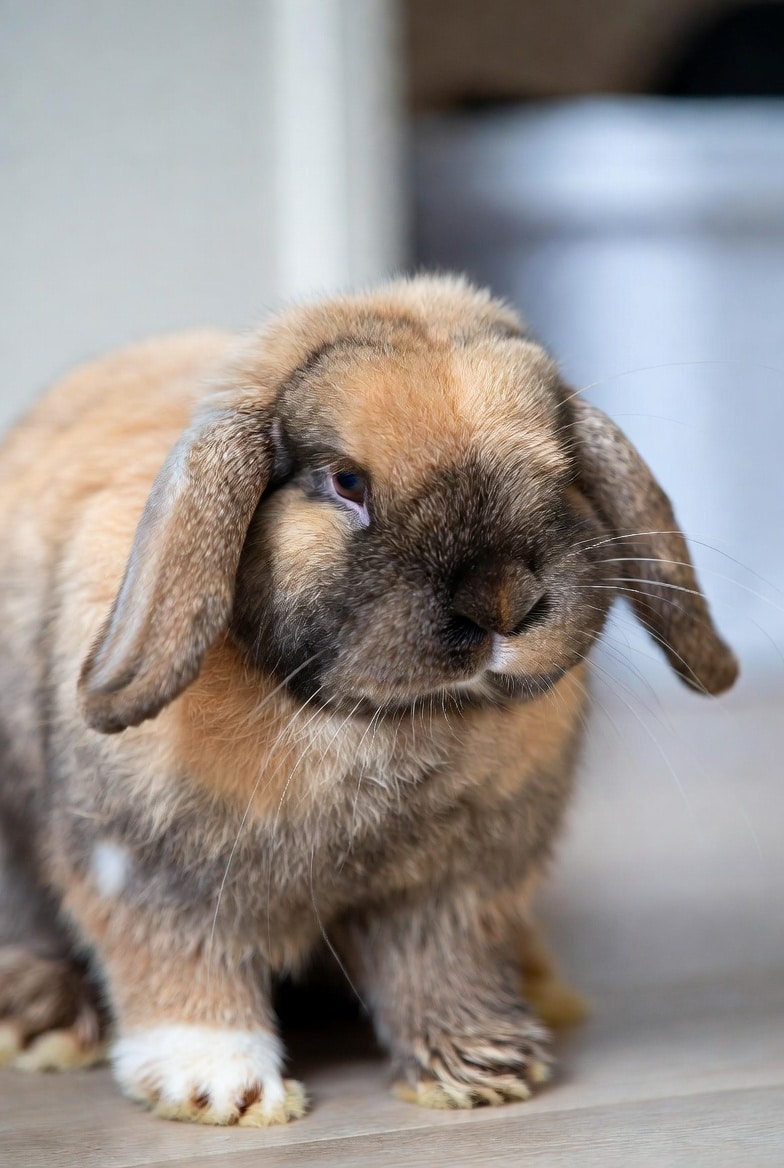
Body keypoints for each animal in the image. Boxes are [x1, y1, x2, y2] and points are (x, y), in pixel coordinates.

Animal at [0, 274, 737, 1123]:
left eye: (560, 469)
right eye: (347, 482)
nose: (502, 601)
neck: (374, 722)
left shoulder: (453, 894)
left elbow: (440, 969)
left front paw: (481, 1072)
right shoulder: (148, 880)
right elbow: (184, 976)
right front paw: (227, 1090)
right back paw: (44, 1029)